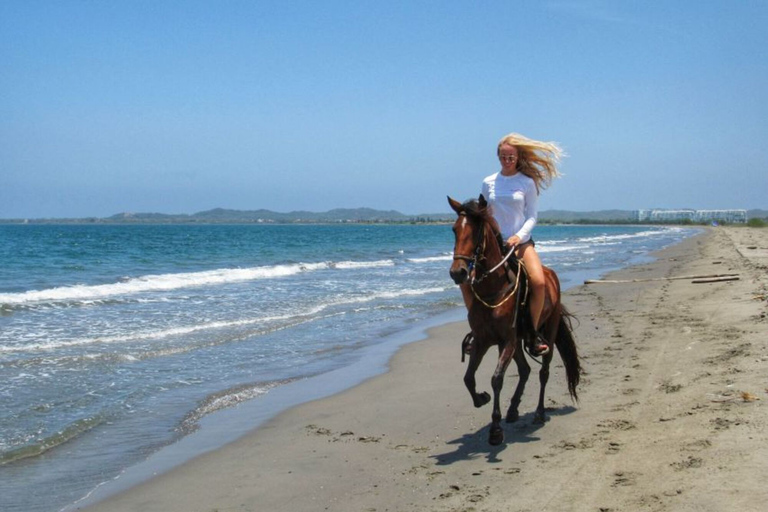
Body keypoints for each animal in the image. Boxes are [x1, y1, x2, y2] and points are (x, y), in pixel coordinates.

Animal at [444, 195, 584, 444]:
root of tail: (551, 276)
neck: (494, 289)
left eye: (477, 231)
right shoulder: (483, 341)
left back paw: (538, 413)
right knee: (526, 370)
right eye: (454, 230)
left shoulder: (507, 340)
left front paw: (495, 429)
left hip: (547, 333)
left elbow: (497, 379)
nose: (457, 273)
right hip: (518, 341)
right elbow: (468, 378)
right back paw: (513, 410)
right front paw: (482, 398)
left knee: (543, 372)